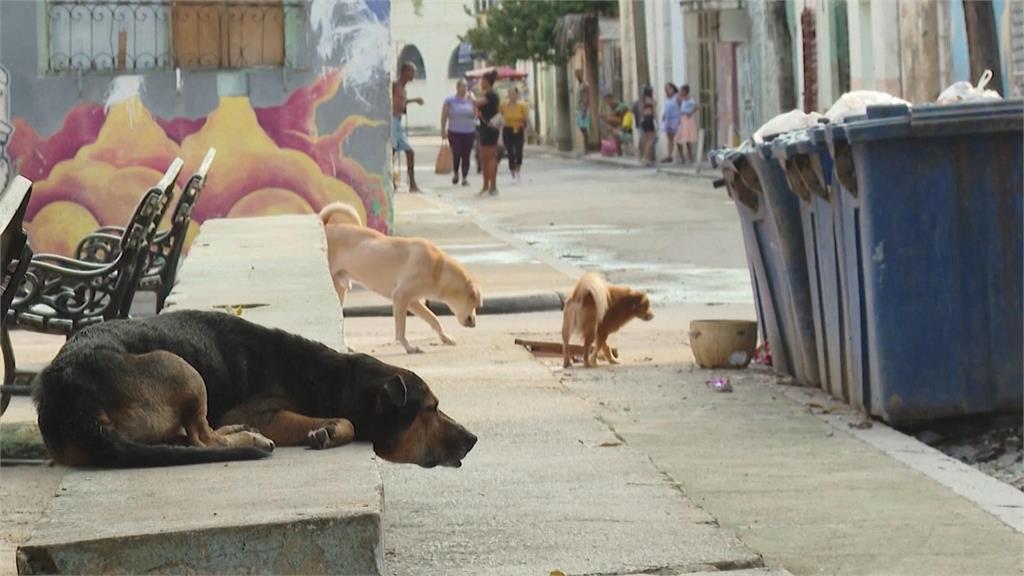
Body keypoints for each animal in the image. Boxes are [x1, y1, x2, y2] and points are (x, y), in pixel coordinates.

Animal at [34, 309, 477, 467]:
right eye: (431, 408)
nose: (473, 439)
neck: (333, 377)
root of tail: (66, 400)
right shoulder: (262, 410)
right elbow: (348, 422)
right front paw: (328, 429)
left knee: (194, 437)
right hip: (180, 367)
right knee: (203, 437)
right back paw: (246, 437)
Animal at [317, 201, 481, 354]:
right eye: (475, 302)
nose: (474, 323)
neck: (438, 268)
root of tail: (324, 227)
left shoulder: (412, 302)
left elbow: (433, 319)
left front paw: (445, 337)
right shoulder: (400, 297)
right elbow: (401, 330)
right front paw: (409, 347)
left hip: (339, 289)